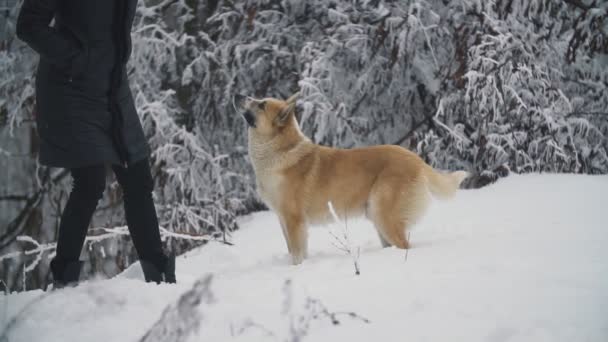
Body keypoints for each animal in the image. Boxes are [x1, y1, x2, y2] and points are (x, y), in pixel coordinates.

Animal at [235, 93, 468, 264]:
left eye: (262, 104)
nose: (241, 95)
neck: (280, 150)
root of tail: (416, 159)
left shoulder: (294, 220)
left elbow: (297, 254)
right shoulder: (283, 219)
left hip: (384, 216)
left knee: (405, 245)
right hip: (379, 219)